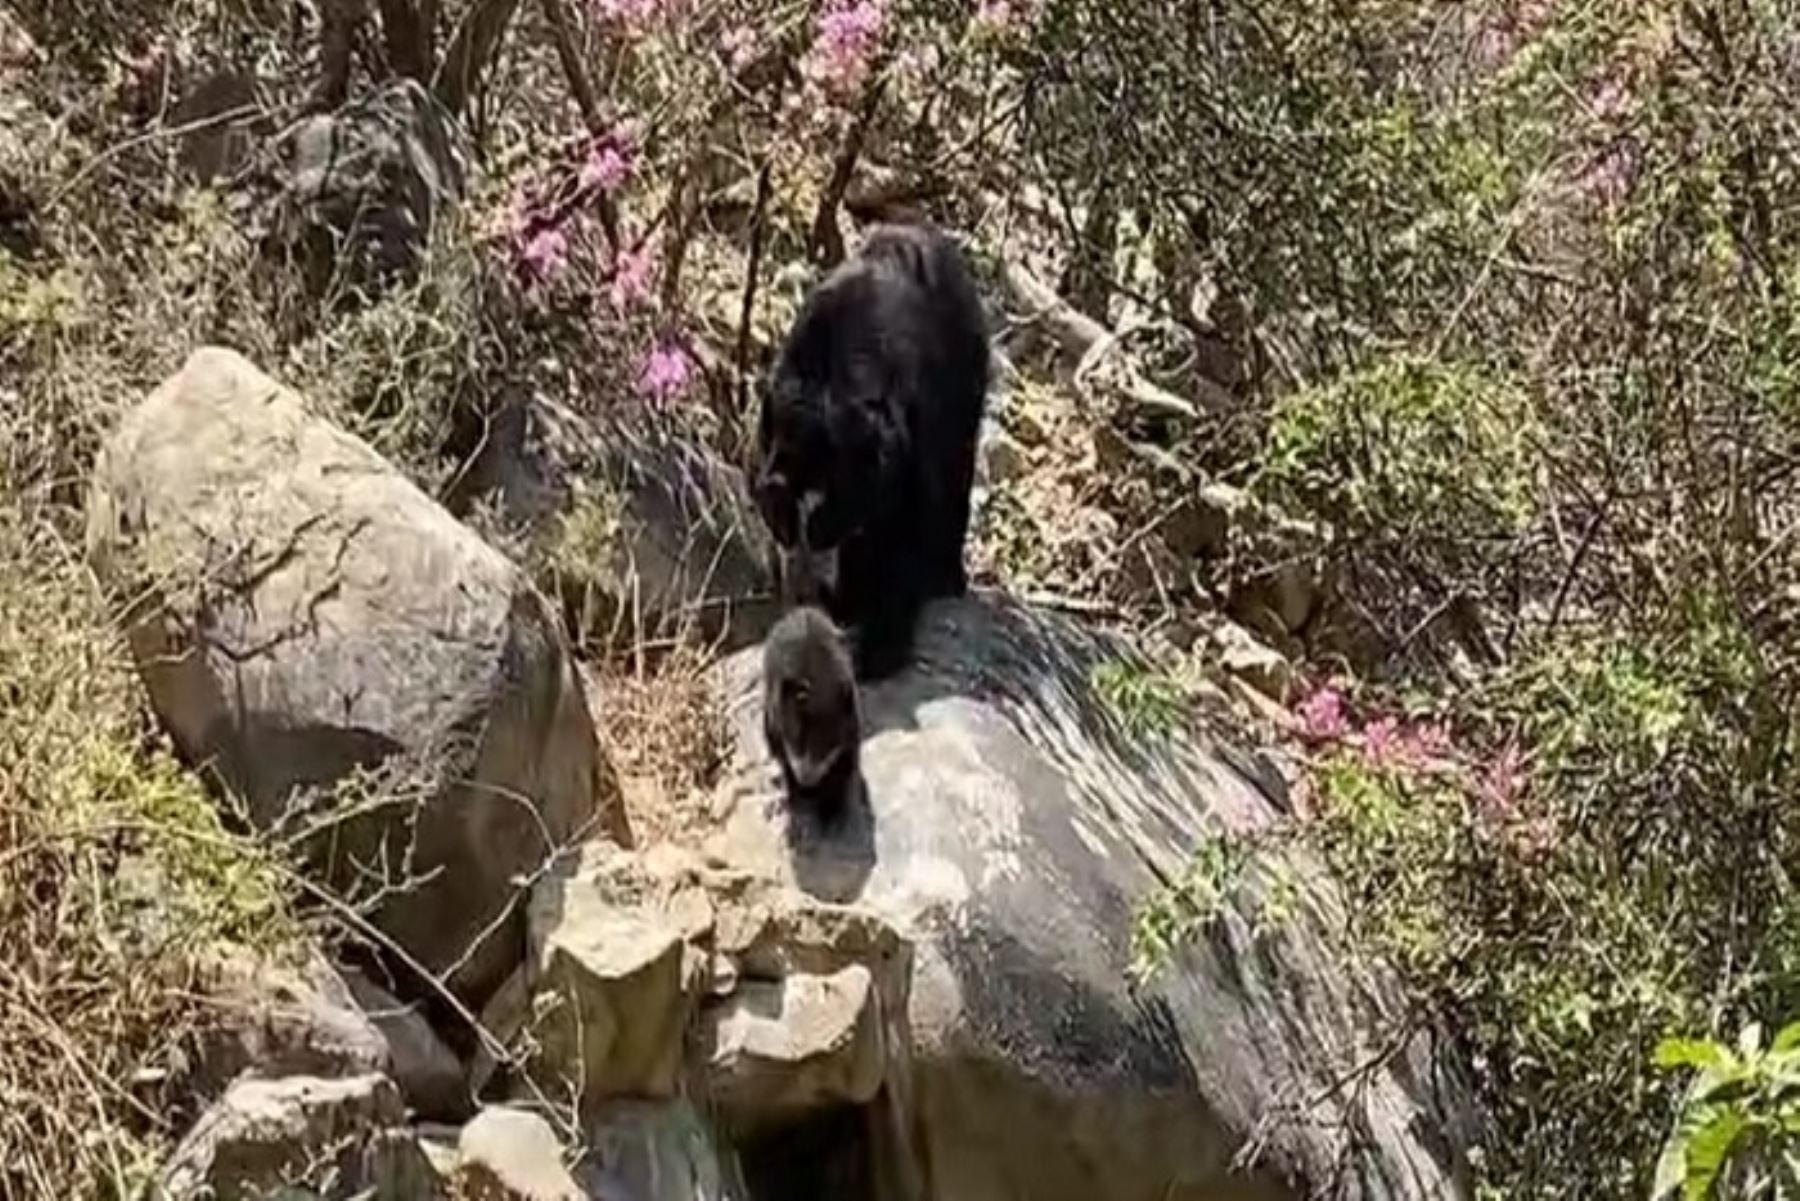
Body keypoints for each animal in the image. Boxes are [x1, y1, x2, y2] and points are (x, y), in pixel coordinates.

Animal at [752, 222, 993, 680]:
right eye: (784, 515)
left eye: (827, 502)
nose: (775, 489)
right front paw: (842, 599)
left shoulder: (908, 431)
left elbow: (906, 520)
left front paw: (881, 646)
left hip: (965, 380)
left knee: (956, 472)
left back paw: (946, 577)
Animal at [763, 605, 860, 821]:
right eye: (797, 740)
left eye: (827, 743)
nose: (806, 783)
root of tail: (802, 609)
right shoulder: (777, 713)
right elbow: (784, 755)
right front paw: (794, 791)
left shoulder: (849, 720)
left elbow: (845, 761)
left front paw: (831, 806)